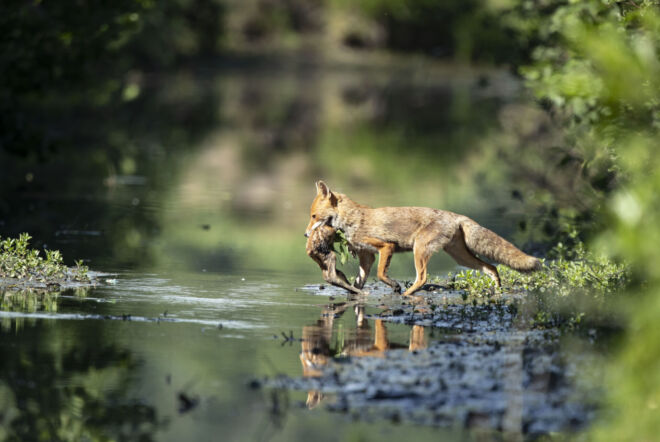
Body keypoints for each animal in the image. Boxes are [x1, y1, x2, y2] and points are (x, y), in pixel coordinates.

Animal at [304, 181, 542, 297]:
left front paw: (394, 286)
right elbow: (359, 282)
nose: (306, 235)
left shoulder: (386, 247)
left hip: (420, 250)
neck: (353, 219)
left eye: (313, 216)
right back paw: (498, 290)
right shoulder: (367, 256)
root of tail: (456, 215)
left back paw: (407, 294)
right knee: (492, 268)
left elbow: (381, 274)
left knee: (423, 278)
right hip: (461, 258)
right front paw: (354, 294)